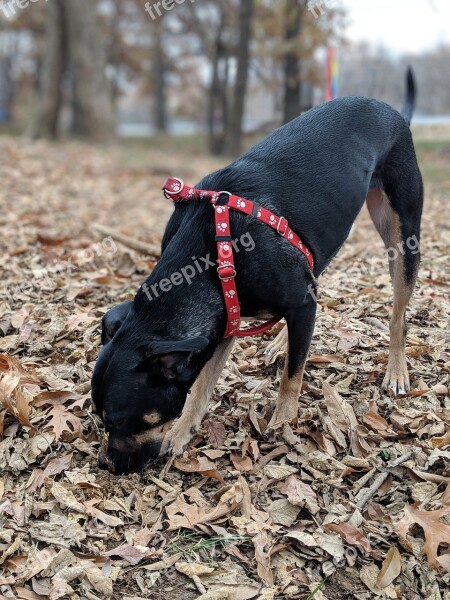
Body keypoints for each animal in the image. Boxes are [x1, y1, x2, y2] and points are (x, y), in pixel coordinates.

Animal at [90, 68, 422, 476]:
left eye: (121, 420)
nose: (105, 463)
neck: (211, 251)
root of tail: (393, 112)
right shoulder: (225, 316)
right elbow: (201, 384)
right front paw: (183, 430)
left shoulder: (289, 302)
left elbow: (292, 377)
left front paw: (283, 420)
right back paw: (283, 340)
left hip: (402, 235)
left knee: (397, 315)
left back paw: (396, 370)